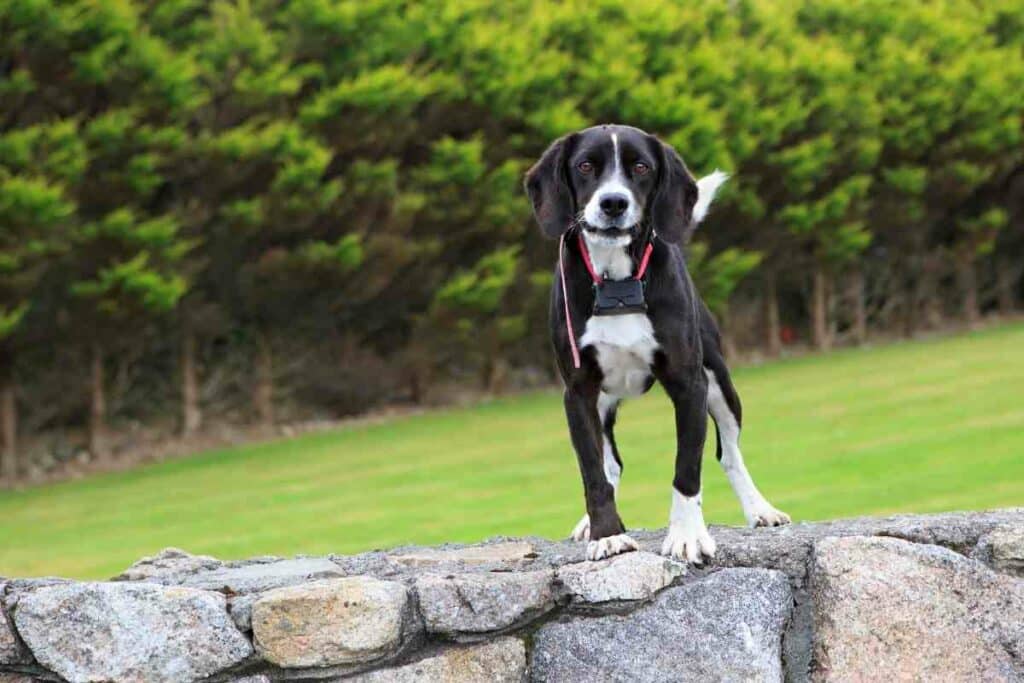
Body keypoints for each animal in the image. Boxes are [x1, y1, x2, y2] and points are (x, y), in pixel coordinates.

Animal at [524, 125, 786, 565]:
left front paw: (687, 536)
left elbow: (688, 470)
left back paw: (759, 508)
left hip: (720, 384)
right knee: (611, 463)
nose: (613, 202)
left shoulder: (690, 384)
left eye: (641, 167)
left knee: (730, 453)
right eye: (586, 166)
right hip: (603, 402)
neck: (617, 283)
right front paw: (607, 534)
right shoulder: (578, 392)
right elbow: (593, 472)